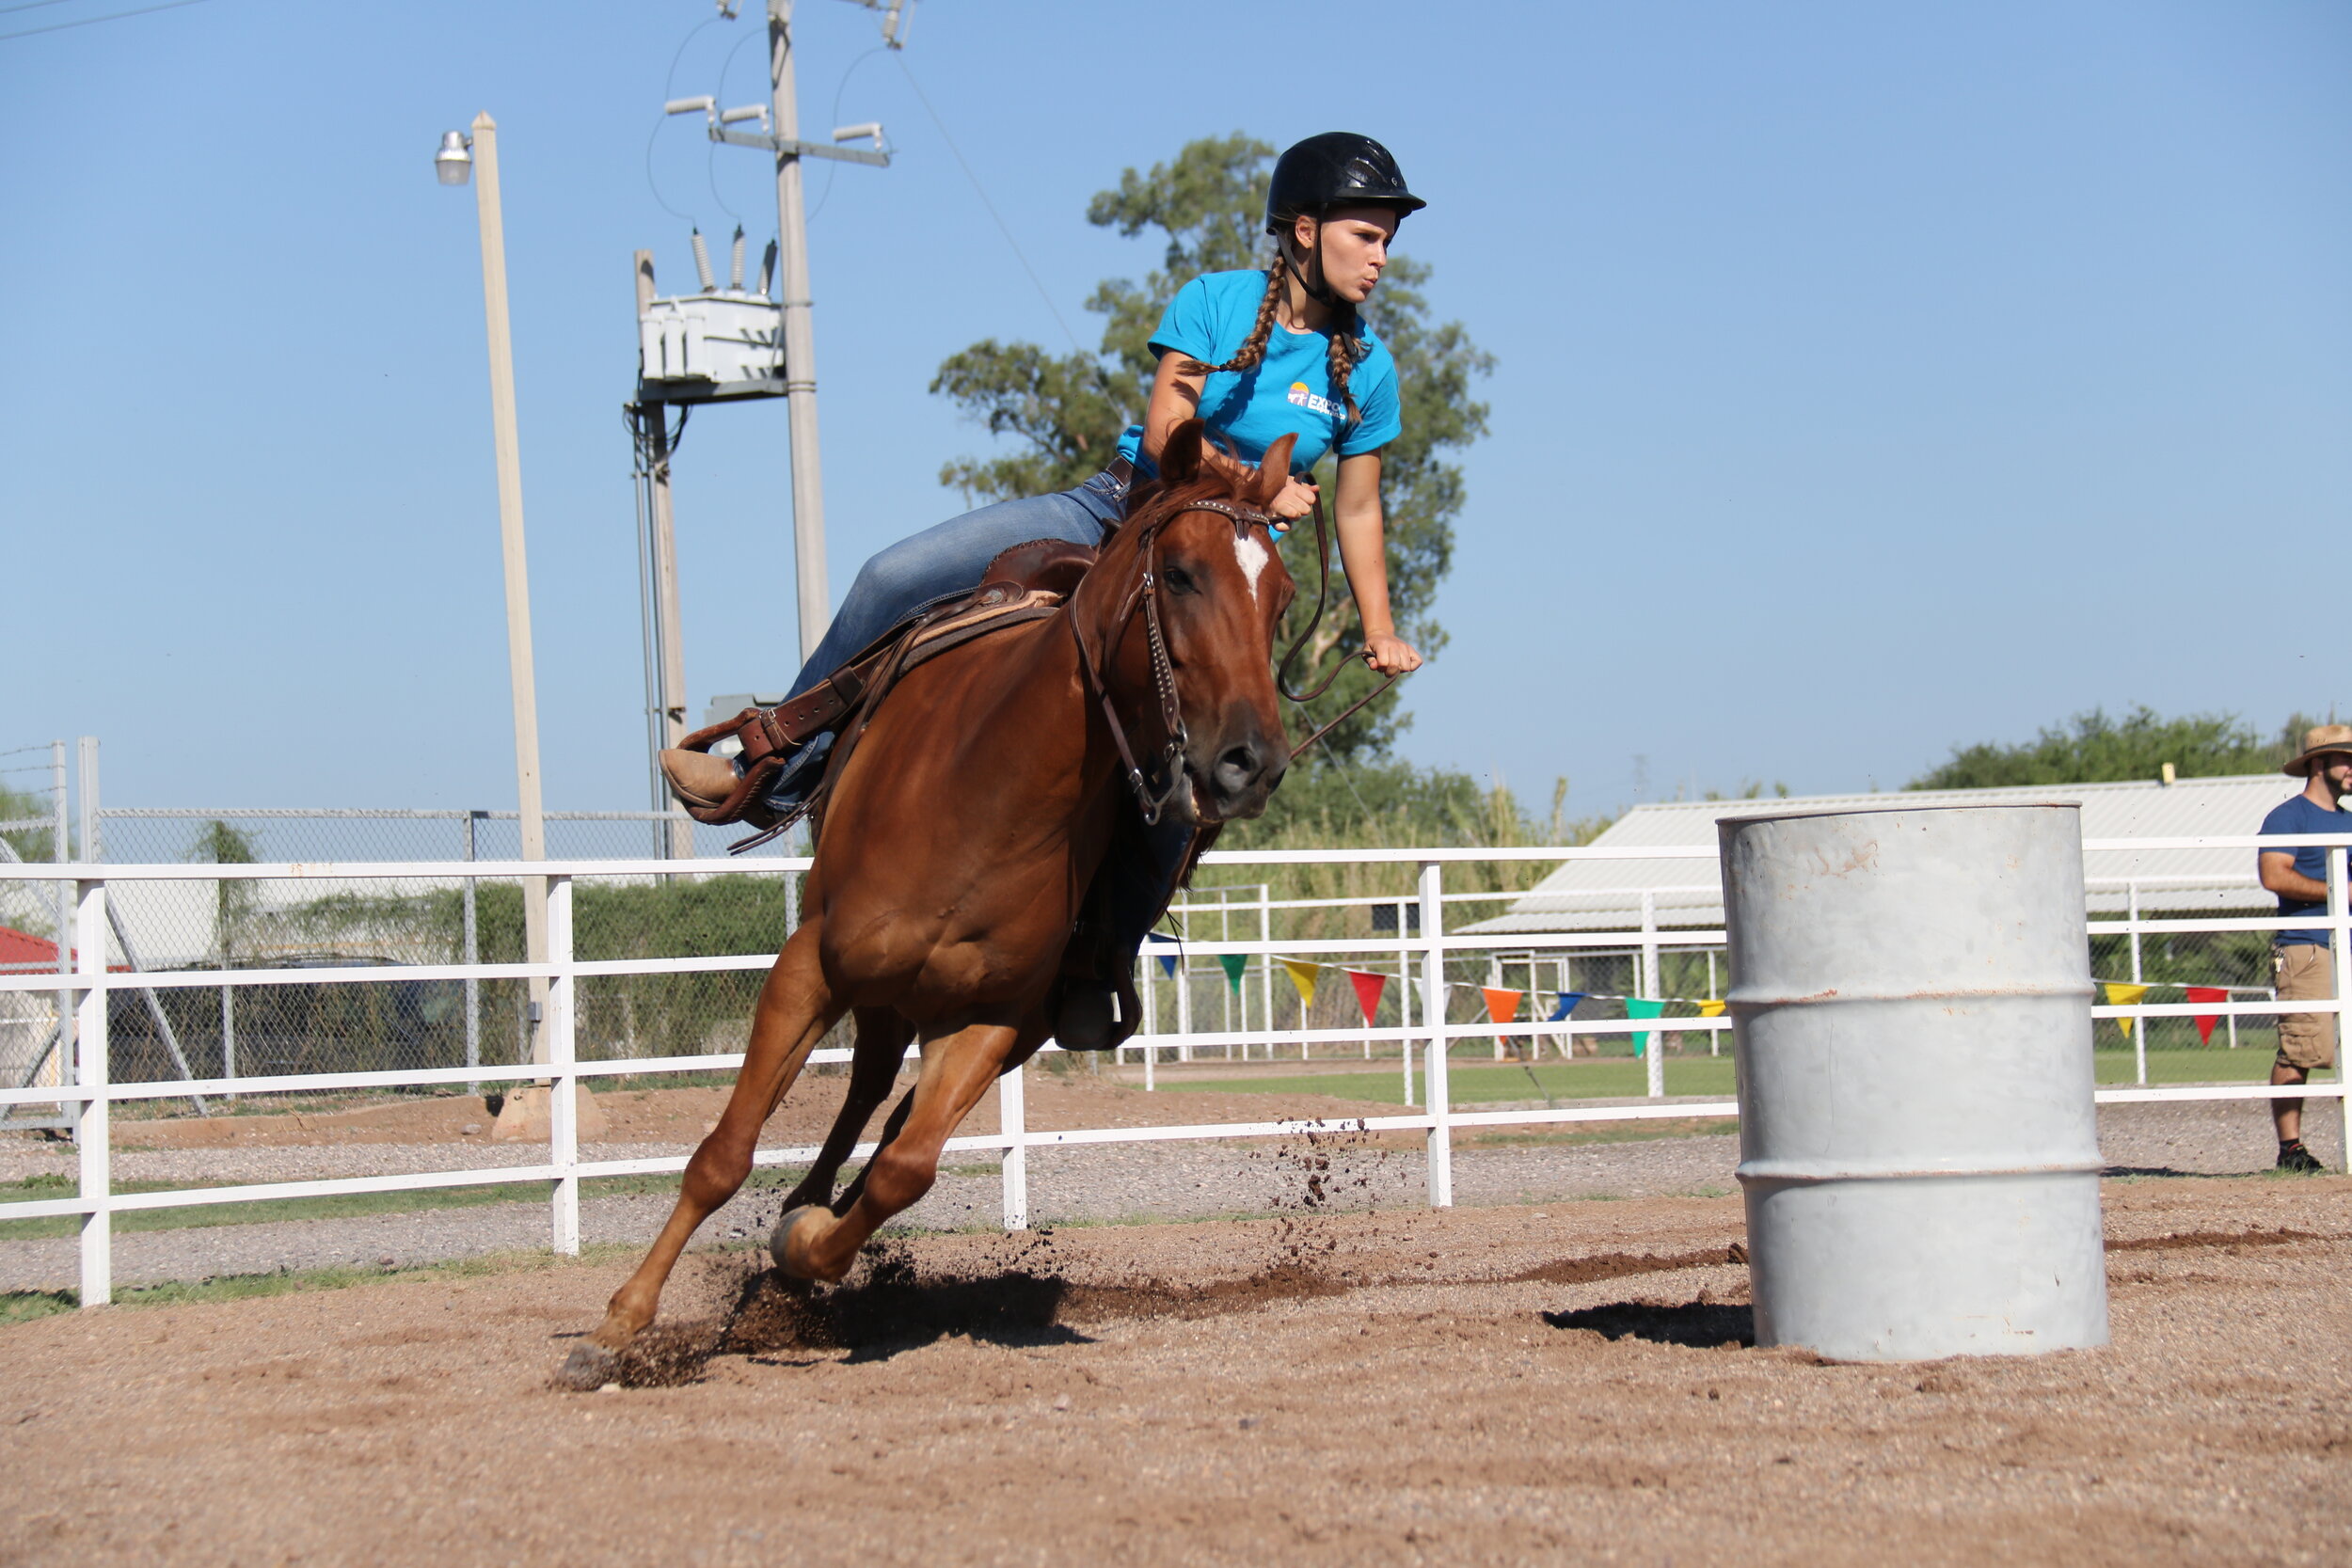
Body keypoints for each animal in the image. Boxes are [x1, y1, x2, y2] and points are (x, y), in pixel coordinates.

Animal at [571, 420, 1308, 1372]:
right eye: (1179, 572)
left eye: (1282, 599)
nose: (1252, 761)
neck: (987, 789)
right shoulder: (807, 964)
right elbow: (722, 1154)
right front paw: (618, 1324)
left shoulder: (993, 1018)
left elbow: (905, 1170)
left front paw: (805, 1246)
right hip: (869, 983)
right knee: (861, 1088)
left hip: (950, 1009)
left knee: (882, 1107)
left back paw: (801, 1235)